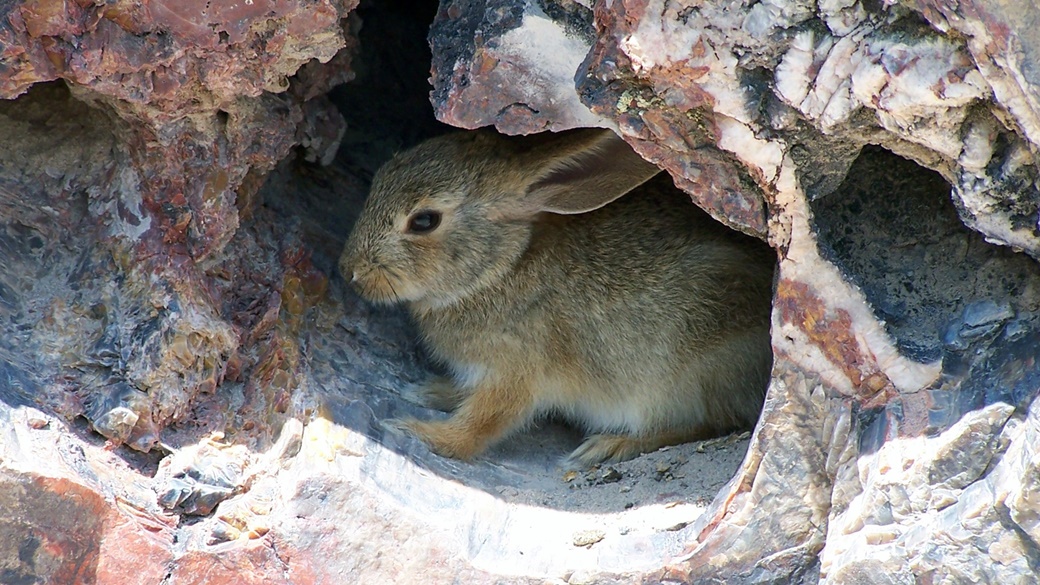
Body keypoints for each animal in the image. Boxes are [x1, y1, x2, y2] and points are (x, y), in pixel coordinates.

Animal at [336, 127, 777, 464]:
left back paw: (608, 445)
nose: (350, 272)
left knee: (709, 423)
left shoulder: (518, 371)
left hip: (690, 373)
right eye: (380, 176)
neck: (501, 267)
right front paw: (430, 391)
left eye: (424, 221)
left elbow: (480, 425)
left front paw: (418, 432)